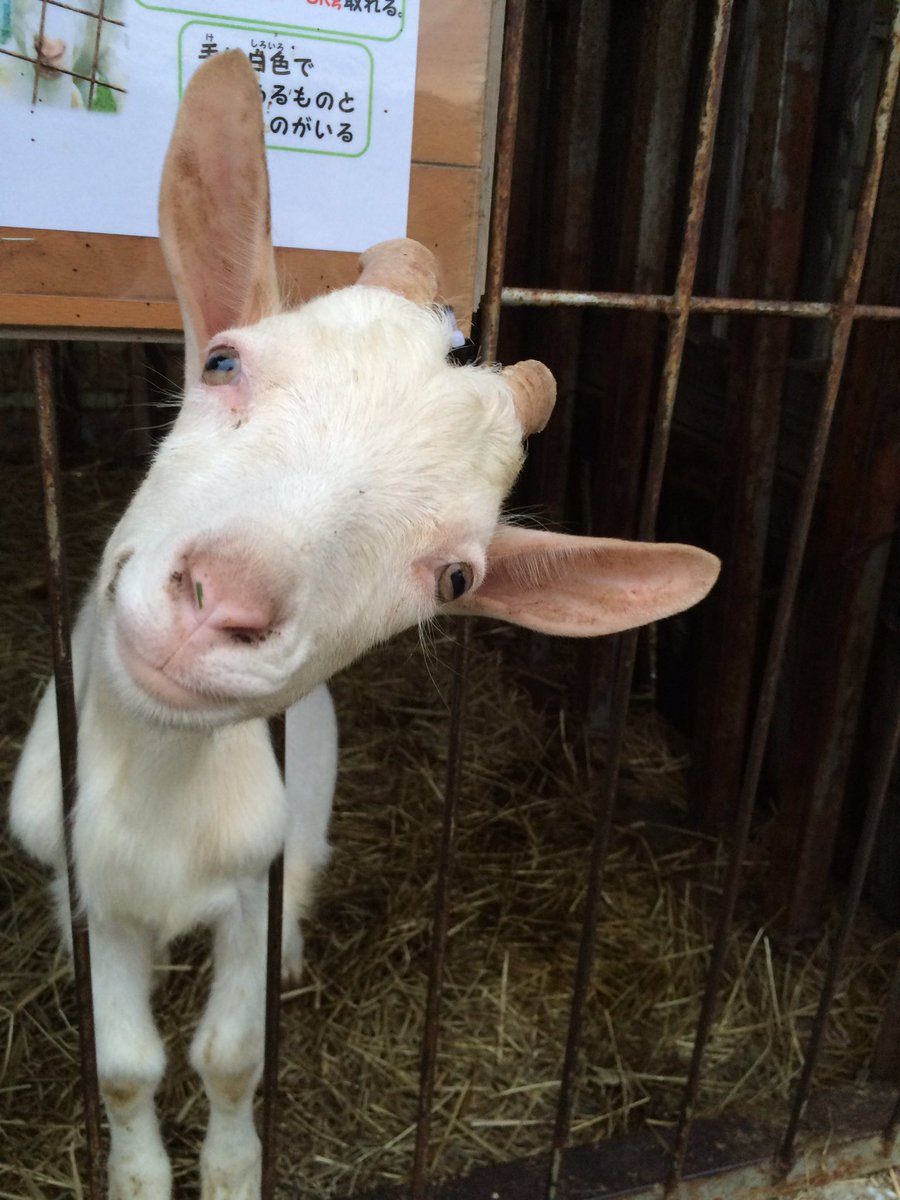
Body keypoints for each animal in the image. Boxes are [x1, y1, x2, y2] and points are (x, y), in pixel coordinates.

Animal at [8, 46, 720, 1200]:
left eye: (457, 577)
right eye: (222, 362)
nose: (222, 603)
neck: (163, 791)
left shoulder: (254, 876)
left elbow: (229, 1054)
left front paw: (233, 1170)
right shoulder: (99, 887)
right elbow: (123, 1067)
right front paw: (140, 1175)